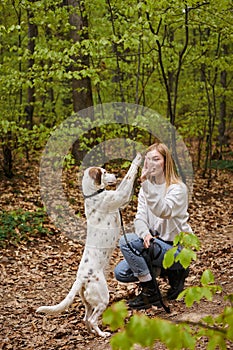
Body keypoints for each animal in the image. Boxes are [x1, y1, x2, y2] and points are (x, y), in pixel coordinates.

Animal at [36, 154, 142, 338]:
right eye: (104, 172)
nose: (115, 175)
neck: (93, 194)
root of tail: (81, 278)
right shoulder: (120, 196)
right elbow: (129, 176)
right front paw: (137, 158)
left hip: (89, 301)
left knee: (86, 318)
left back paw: (92, 332)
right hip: (103, 297)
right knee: (92, 319)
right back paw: (103, 334)